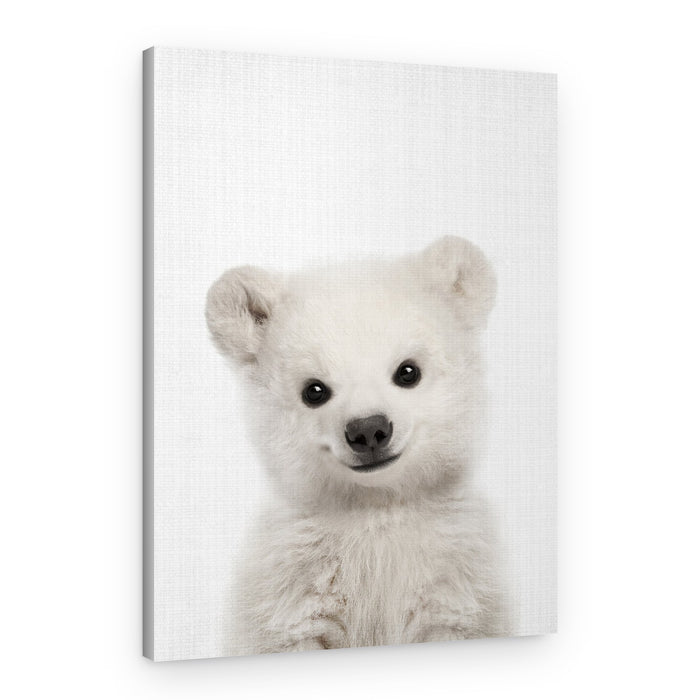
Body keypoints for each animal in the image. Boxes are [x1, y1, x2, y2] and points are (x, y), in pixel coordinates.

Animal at [206, 235, 507, 654]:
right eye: (314, 390)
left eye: (408, 371)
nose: (368, 430)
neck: (374, 510)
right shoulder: (291, 589)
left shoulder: (456, 582)